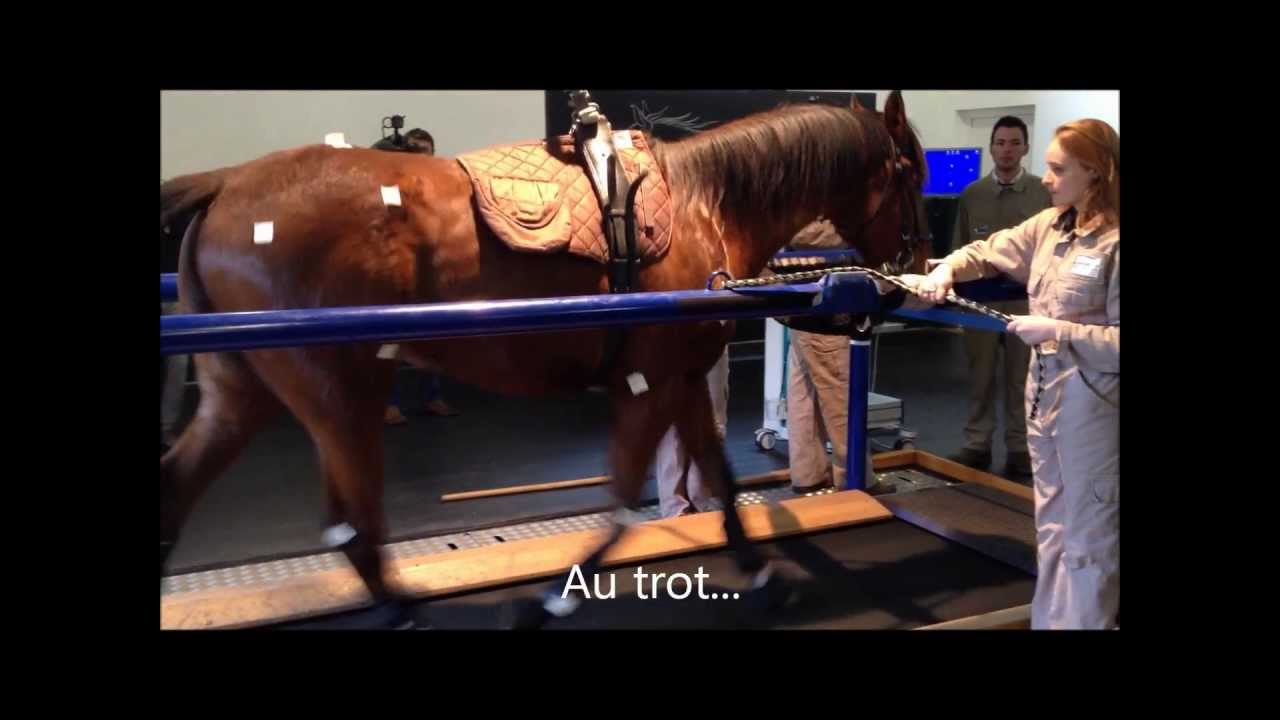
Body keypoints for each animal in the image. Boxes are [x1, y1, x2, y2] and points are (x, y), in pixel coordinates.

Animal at [159, 90, 929, 629]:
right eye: (909, 172)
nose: (916, 265)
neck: (703, 202)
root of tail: (227, 184)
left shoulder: (681, 376)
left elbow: (721, 479)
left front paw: (762, 576)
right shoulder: (649, 385)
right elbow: (622, 498)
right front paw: (553, 600)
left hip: (248, 394)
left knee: (199, 485)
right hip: (341, 394)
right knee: (355, 524)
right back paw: (402, 606)